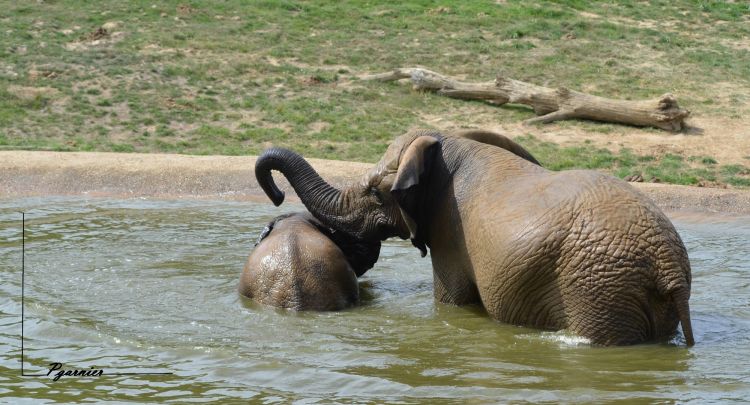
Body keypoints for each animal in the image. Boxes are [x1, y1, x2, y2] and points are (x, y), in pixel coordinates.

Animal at [256, 129, 696, 344]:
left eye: (375, 192)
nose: (277, 196)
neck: (448, 143)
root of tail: (668, 266)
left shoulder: (450, 234)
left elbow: (451, 300)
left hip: (596, 288)